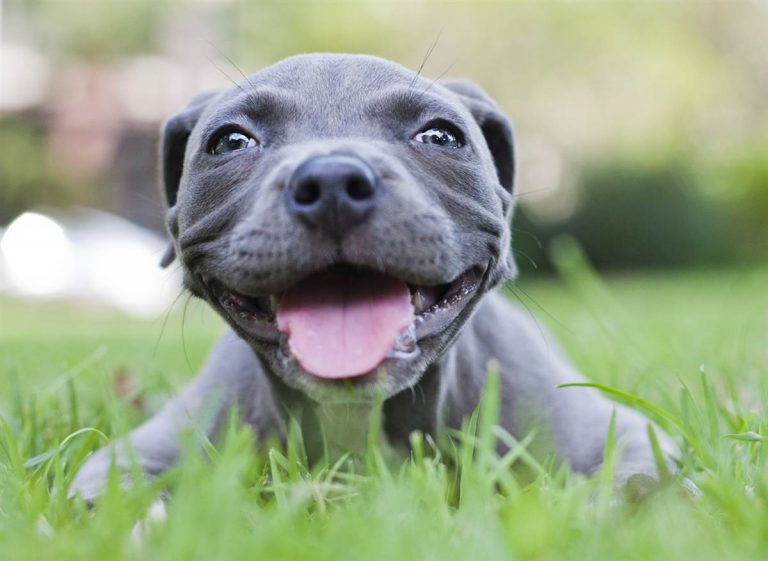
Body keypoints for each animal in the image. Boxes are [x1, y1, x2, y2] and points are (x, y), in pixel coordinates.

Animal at [72, 53, 672, 498]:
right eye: (229, 141)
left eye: (441, 136)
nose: (333, 179)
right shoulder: (144, 451)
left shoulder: (619, 435)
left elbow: (637, 487)